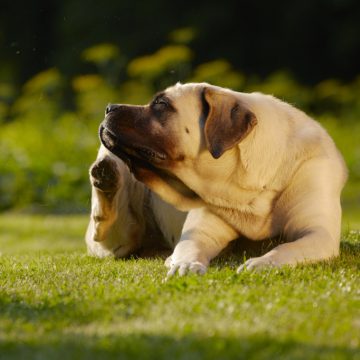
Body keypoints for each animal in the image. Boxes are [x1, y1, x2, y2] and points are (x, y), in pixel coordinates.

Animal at [86, 83, 348, 278]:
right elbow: (188, 248)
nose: (109, 107)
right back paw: (106, 176)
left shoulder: (318, 233)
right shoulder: (200, 233)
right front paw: (184, 264)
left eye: (161, 104)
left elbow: (285, 248)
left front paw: (262, 263)